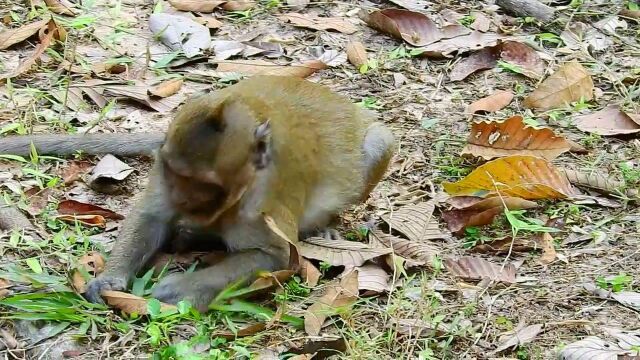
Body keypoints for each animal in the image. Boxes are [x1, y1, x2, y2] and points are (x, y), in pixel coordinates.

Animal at [0, 75, 396, 310]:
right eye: (176, 176)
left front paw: (182, 287)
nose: (184, 201)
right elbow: (151, 215)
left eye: (205, 186)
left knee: (379, 140)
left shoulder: (264, 202)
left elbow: (277, 257)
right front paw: (110, 279)